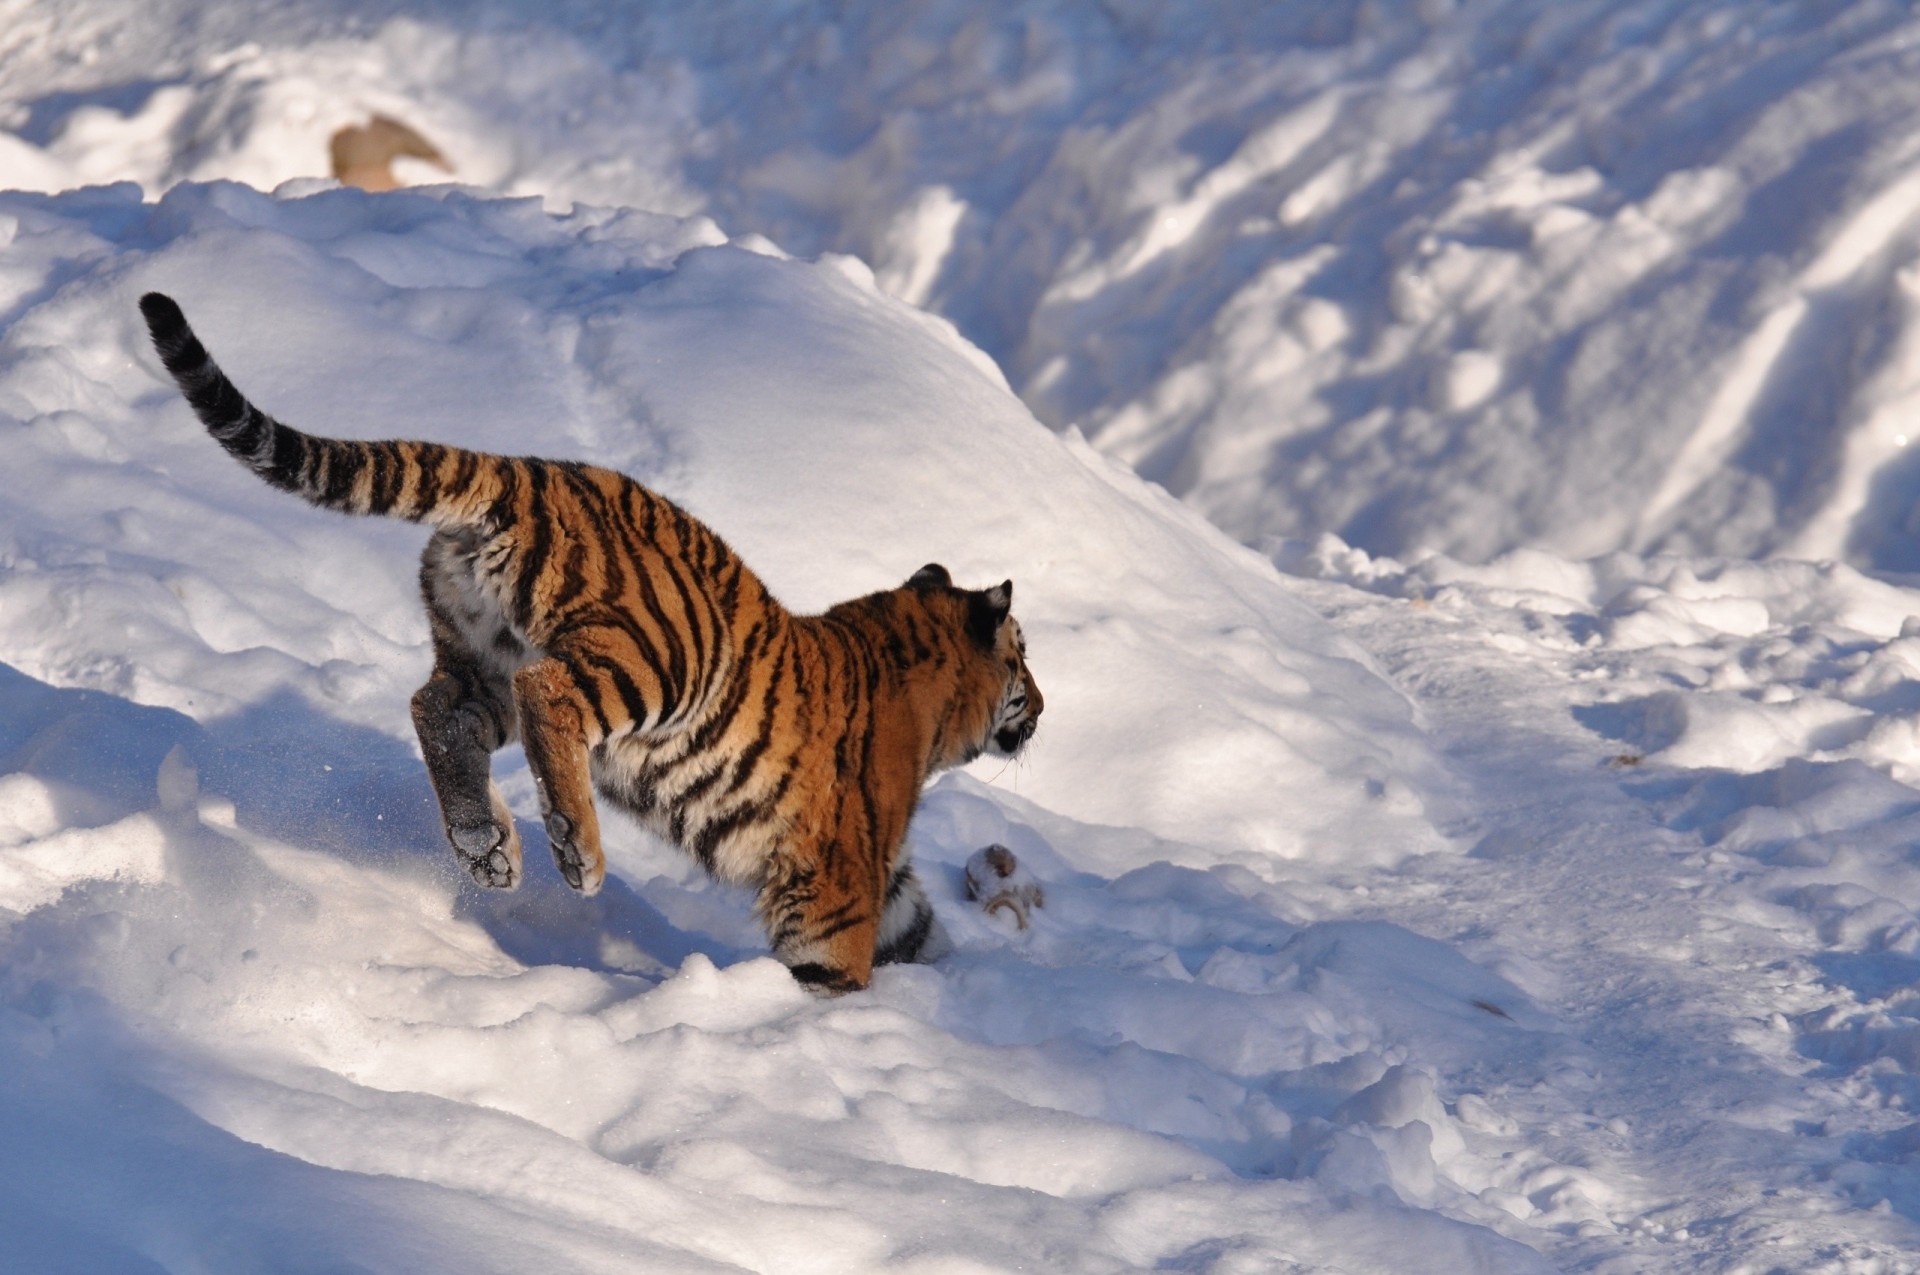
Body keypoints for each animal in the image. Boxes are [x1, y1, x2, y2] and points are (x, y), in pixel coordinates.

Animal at [138, 291, 1043, 994]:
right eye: (1025, 659)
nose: (1040, 708)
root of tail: (529, 471)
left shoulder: (887, 879)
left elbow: (920, 929)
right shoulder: (837, 879)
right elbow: (838, 962)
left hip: (480, 650)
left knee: (437, 707)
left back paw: (487, 849)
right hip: (661, 657)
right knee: (549, 695)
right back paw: (577, 851)